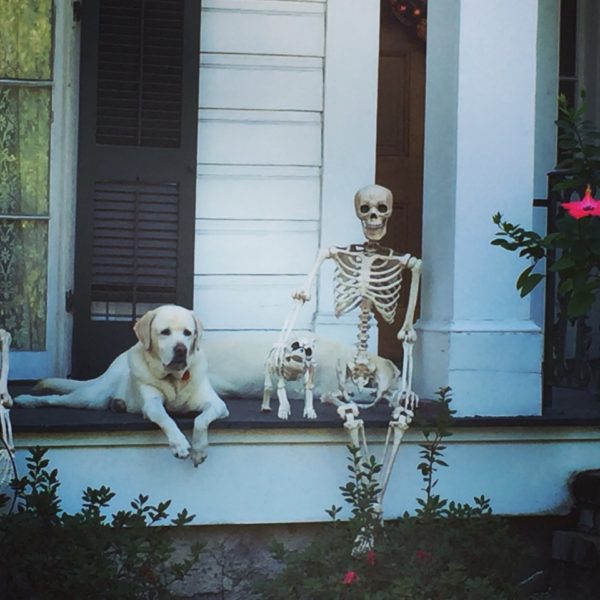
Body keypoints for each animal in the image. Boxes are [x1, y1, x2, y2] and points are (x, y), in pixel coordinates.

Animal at [14, 304, 230, 464]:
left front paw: (199, 450)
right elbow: (166, 419)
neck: (173, 378)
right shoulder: (151, 404)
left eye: (188, 333)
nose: (181, 350)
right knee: (56, 399)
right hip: (89, 397)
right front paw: (179, 443)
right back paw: (27, 400)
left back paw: (118, 404)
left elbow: (200, 420)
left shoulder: (218, 405)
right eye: (165, 332)